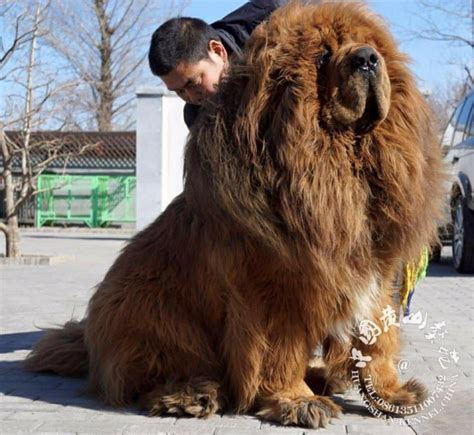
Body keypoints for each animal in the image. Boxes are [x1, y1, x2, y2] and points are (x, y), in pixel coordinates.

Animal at [26, 1, 444, 430]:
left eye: (368, 45)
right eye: (323, 56)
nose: (367, 58)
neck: (337, 164)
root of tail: (88, 340)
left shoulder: (374, 275)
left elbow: (378, 339)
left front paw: (390, 393)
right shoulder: (276, 292)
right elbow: (280, 352)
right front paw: (297, 400)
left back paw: (321, 376)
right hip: (155, 312)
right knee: (151, 372)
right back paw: (193, 394)